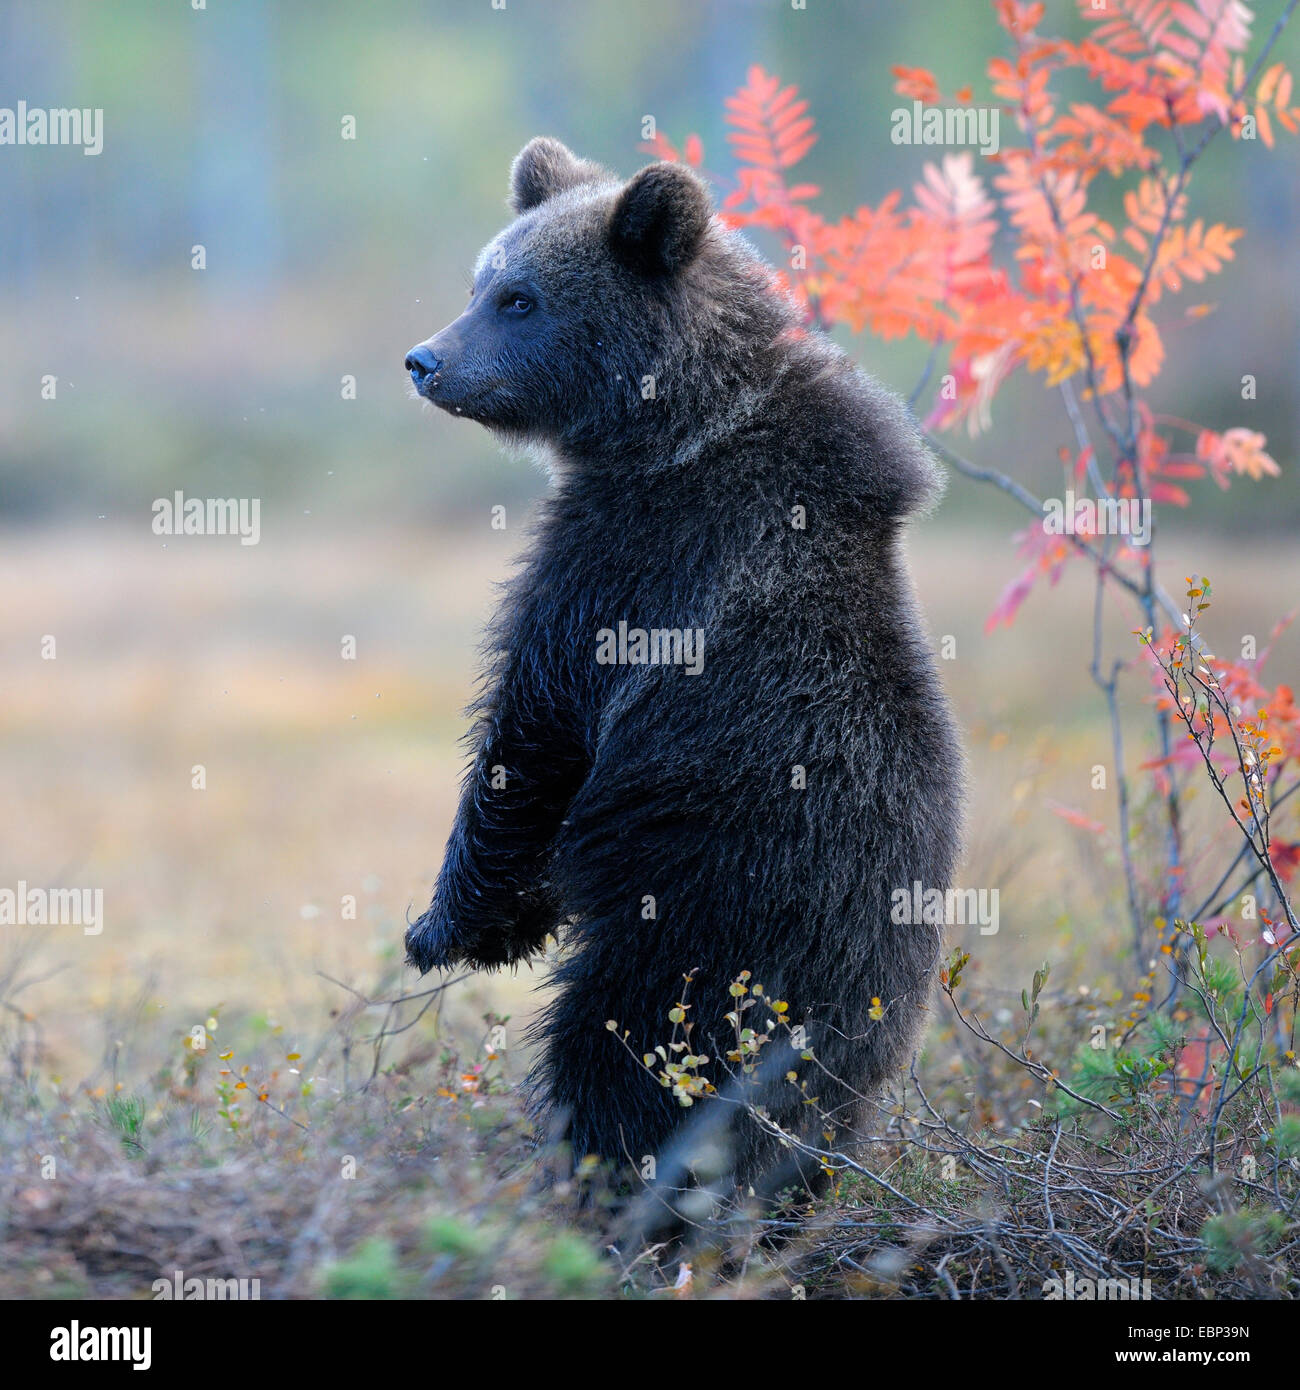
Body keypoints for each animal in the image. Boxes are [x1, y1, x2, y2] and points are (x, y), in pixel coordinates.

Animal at [403, 137, 964, 1215]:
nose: (425, 360)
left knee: (617, 1055)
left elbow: (530, 737)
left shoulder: (631, 563)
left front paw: (448, 924)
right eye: (480, 281)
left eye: (519, 299)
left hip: (700, 925)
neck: (676, 425)